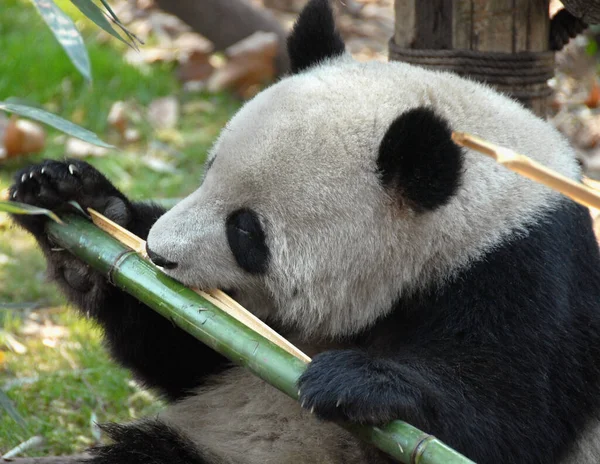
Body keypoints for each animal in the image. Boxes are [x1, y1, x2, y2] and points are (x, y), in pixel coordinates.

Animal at [8, 0, 600, 462]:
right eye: (208, 170)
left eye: (246, 231)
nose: (157, 254)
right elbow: (178, 354)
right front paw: (69, 198)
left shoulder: (524, 270)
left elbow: (507, 420)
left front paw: (356, 383)